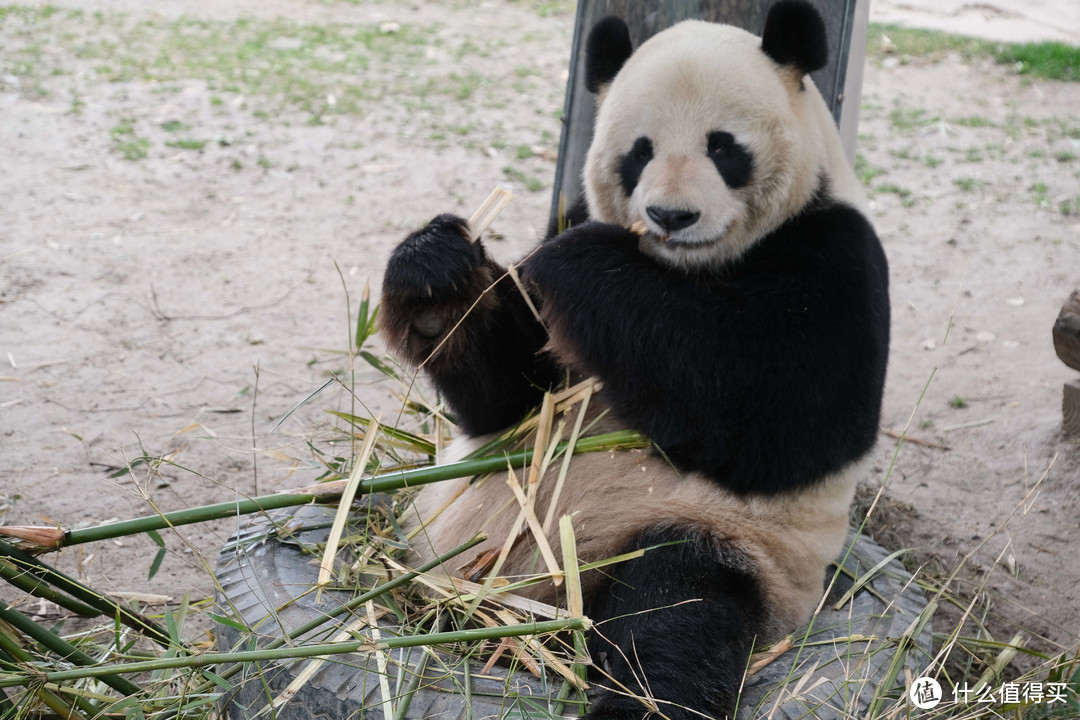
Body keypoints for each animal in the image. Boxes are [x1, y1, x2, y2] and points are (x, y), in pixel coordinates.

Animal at [378, 2, 885, 716]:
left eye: (722, 147)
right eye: (639, 151)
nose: (670, 215)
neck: (679, 270)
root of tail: (537, 606)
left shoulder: (835, 256)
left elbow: (780, 422)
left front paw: (589, 265)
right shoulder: (564, 227)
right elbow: (512, 399)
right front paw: (434, 278)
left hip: (722, 542)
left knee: (672, 616)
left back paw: (640, 693)